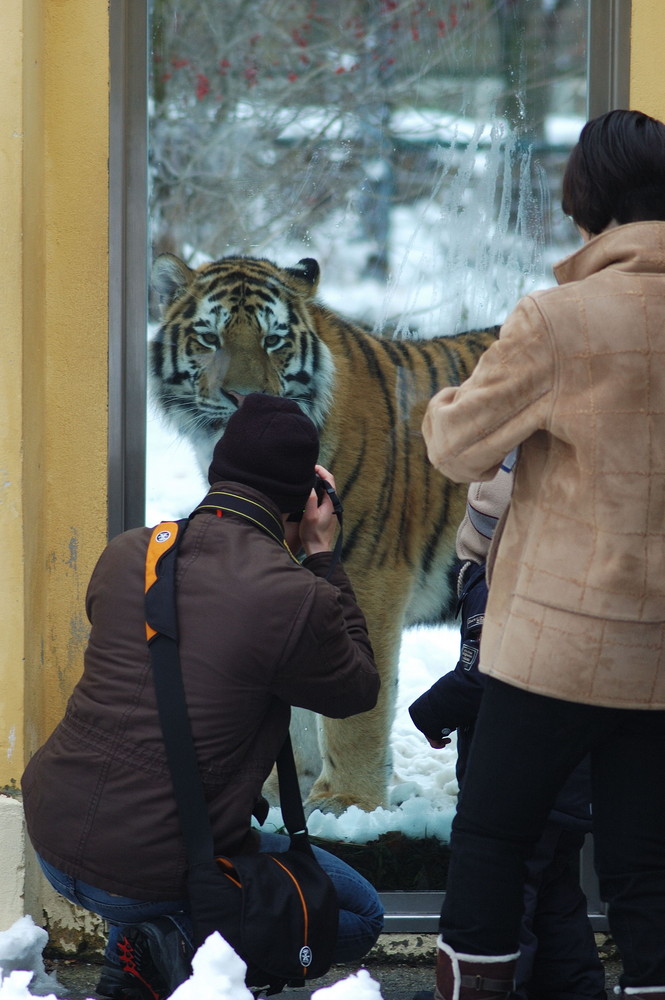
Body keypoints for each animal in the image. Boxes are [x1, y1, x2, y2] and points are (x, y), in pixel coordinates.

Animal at [148, 248, 496, 812]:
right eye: (209, 338)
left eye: (273, 339)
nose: (245, 398)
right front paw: (280, 789)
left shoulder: (370, 579)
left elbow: (358, 712)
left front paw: (348, 801)